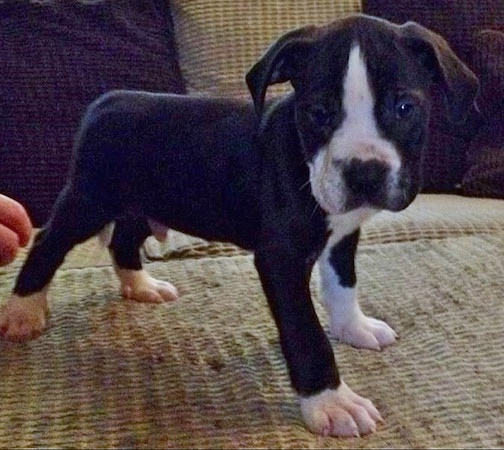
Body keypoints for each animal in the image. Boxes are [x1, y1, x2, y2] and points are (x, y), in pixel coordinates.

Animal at [0, 15, 476, 438]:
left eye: (404, 107)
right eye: (319, 112)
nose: (364, 172)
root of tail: (104, 102)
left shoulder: (342, 235)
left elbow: (344, 285)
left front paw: (352, 328)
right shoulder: (281, 258)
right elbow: (305, 333)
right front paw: (331, 402)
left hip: (144, 204)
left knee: (124, 241)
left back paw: (141, 286)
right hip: (89, 200)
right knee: (47, 245)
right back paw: (23, 313)